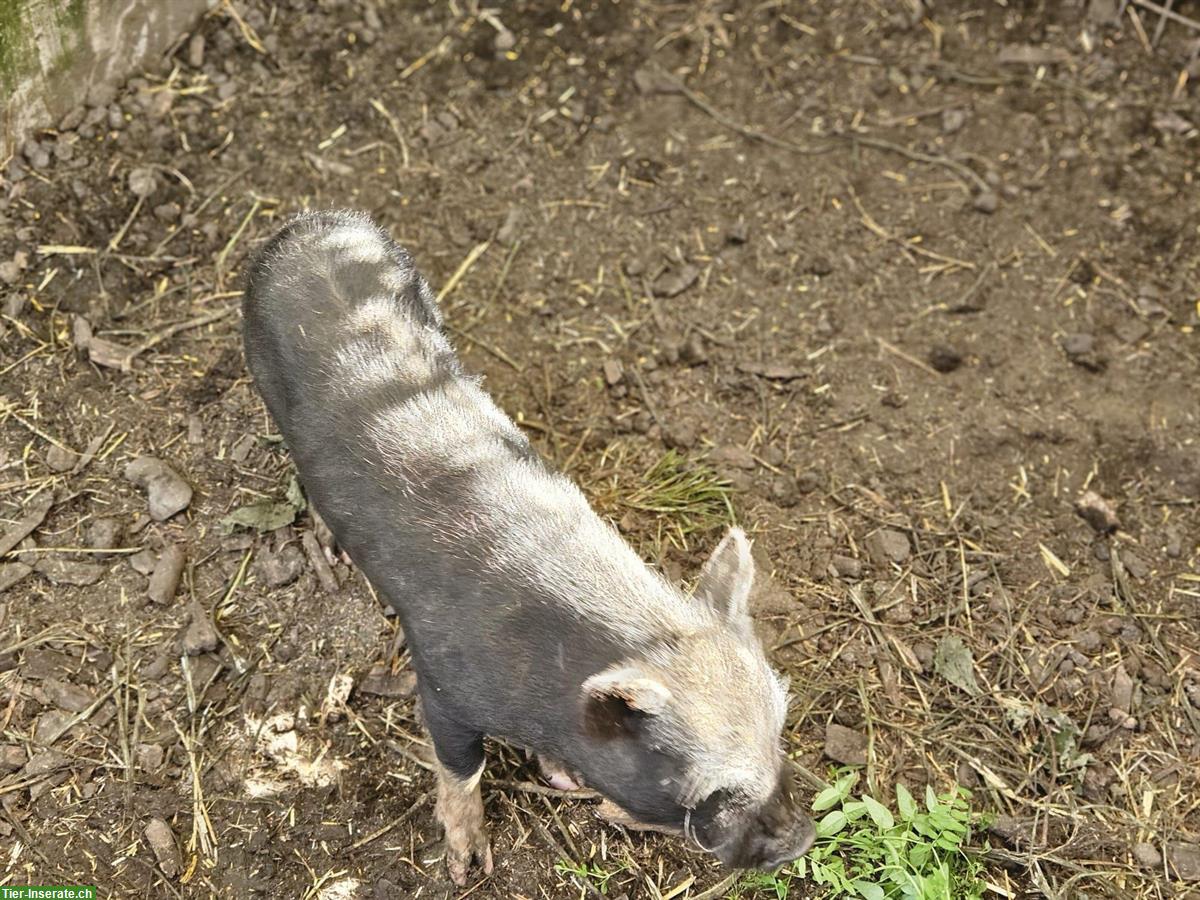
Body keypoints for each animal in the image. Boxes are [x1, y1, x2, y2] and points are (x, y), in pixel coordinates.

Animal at [238, 211, 811, 888]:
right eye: (709, 791)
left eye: (780, 731)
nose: (803, 838)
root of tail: (314, 222)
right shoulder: (443, 683)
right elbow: (460, 766)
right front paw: (467, 867)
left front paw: (557, 777)